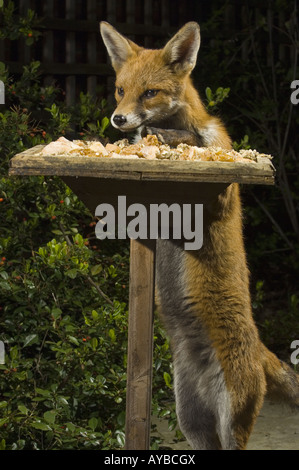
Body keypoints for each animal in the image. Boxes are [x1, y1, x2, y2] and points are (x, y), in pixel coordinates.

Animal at [101, 20, 299, 450]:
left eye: (150, 92)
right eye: (120, 89)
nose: (119, 120)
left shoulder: (222, 184)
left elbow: (194, 143)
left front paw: (165, 138)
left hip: (231, 421)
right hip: (190, 421)